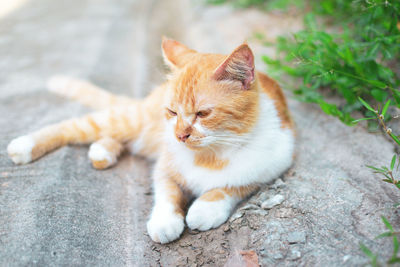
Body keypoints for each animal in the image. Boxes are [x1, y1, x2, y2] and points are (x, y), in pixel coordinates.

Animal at [6, 37, 294, 245]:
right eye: (172, 112)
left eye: (203, 114)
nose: (180, 135)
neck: (211, 154)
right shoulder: (164, 166)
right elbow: (166, 193)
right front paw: (165, 222)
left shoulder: (272, 164)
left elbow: (231, 187)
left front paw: (205, 208)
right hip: (131, 121)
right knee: (79, 125)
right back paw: (25, 145)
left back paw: (102, 150)